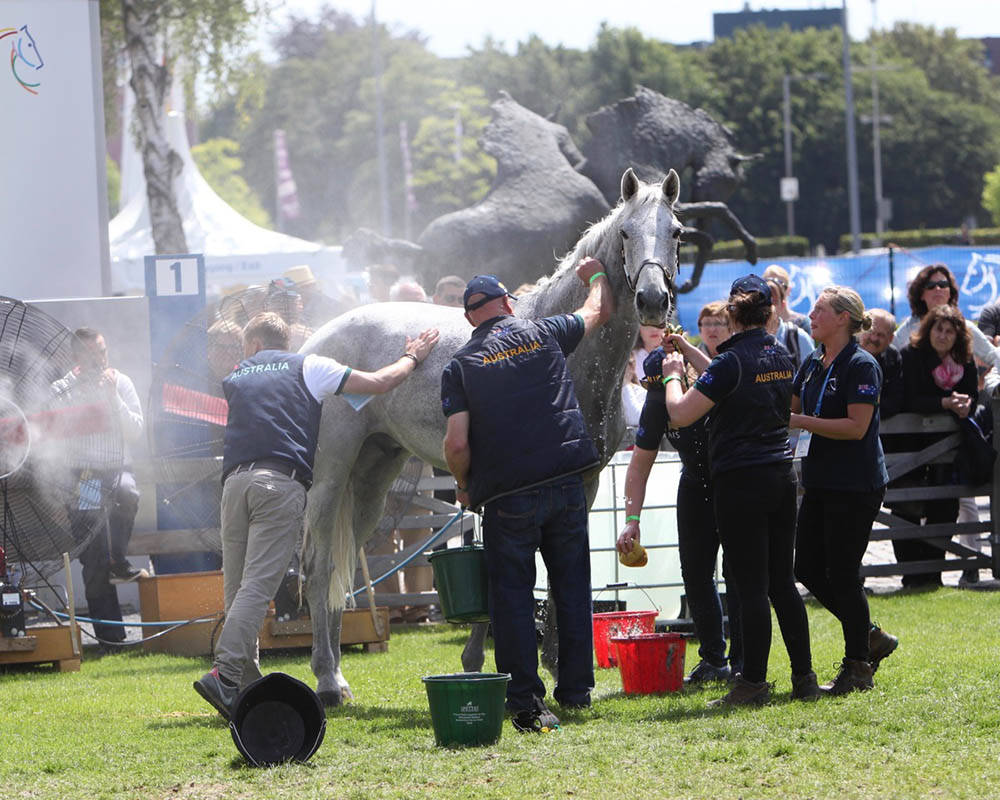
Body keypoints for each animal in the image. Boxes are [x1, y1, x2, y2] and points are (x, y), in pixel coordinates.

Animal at [304, 167, 692, 700]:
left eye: (675, 232)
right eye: (627, 234)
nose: (653, 301)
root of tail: (317, 341)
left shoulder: (584, 483)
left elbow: (560, 569)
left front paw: (556, 666)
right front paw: (494, 662)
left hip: (372, 476)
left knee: (344, 567)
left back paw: (337, 673)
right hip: (332, 474)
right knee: (321, 565)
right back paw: (327, 679)